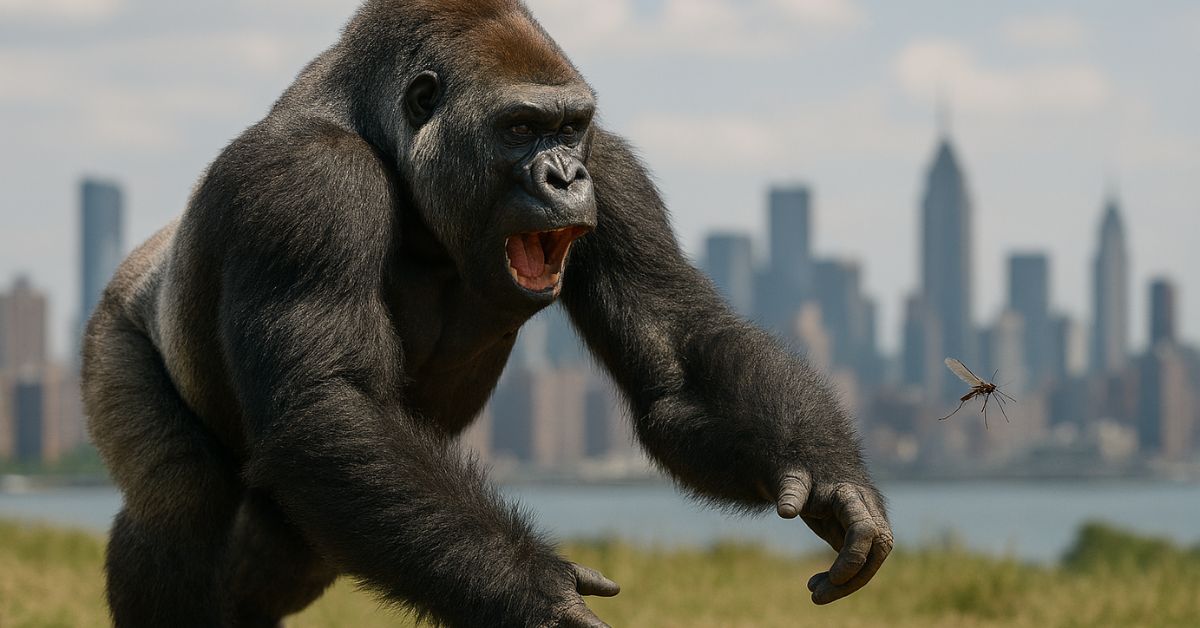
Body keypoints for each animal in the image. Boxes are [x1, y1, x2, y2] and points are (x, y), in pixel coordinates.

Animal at [81, 1, 893, 626]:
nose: (566, 177)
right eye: (520, 128)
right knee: (182, 503)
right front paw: (533, 591)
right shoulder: (307, 182)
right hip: (113, 330)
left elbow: (676, 352)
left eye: (568, 127)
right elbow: (328, 402)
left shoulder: (614, 168)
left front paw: (822, 470)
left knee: (280, 553)